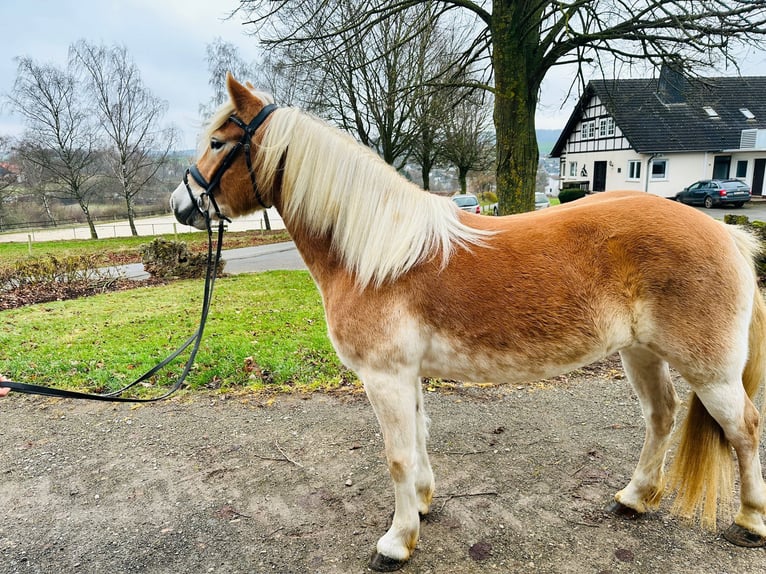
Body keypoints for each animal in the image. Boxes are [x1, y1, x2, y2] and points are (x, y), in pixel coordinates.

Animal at [171, 75, 766, 572]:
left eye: (220, 142)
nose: (181, 204)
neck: (374, 252)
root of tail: (728, 235)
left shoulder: (384, 377)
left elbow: (397, 456)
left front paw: (396, 543)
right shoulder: (405, 376)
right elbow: (419, 442)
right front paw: (422, 505)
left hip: (709, 369)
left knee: (744, 428)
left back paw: (749, 520)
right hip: (641, 352)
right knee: (661, 417)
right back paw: (635, 498)